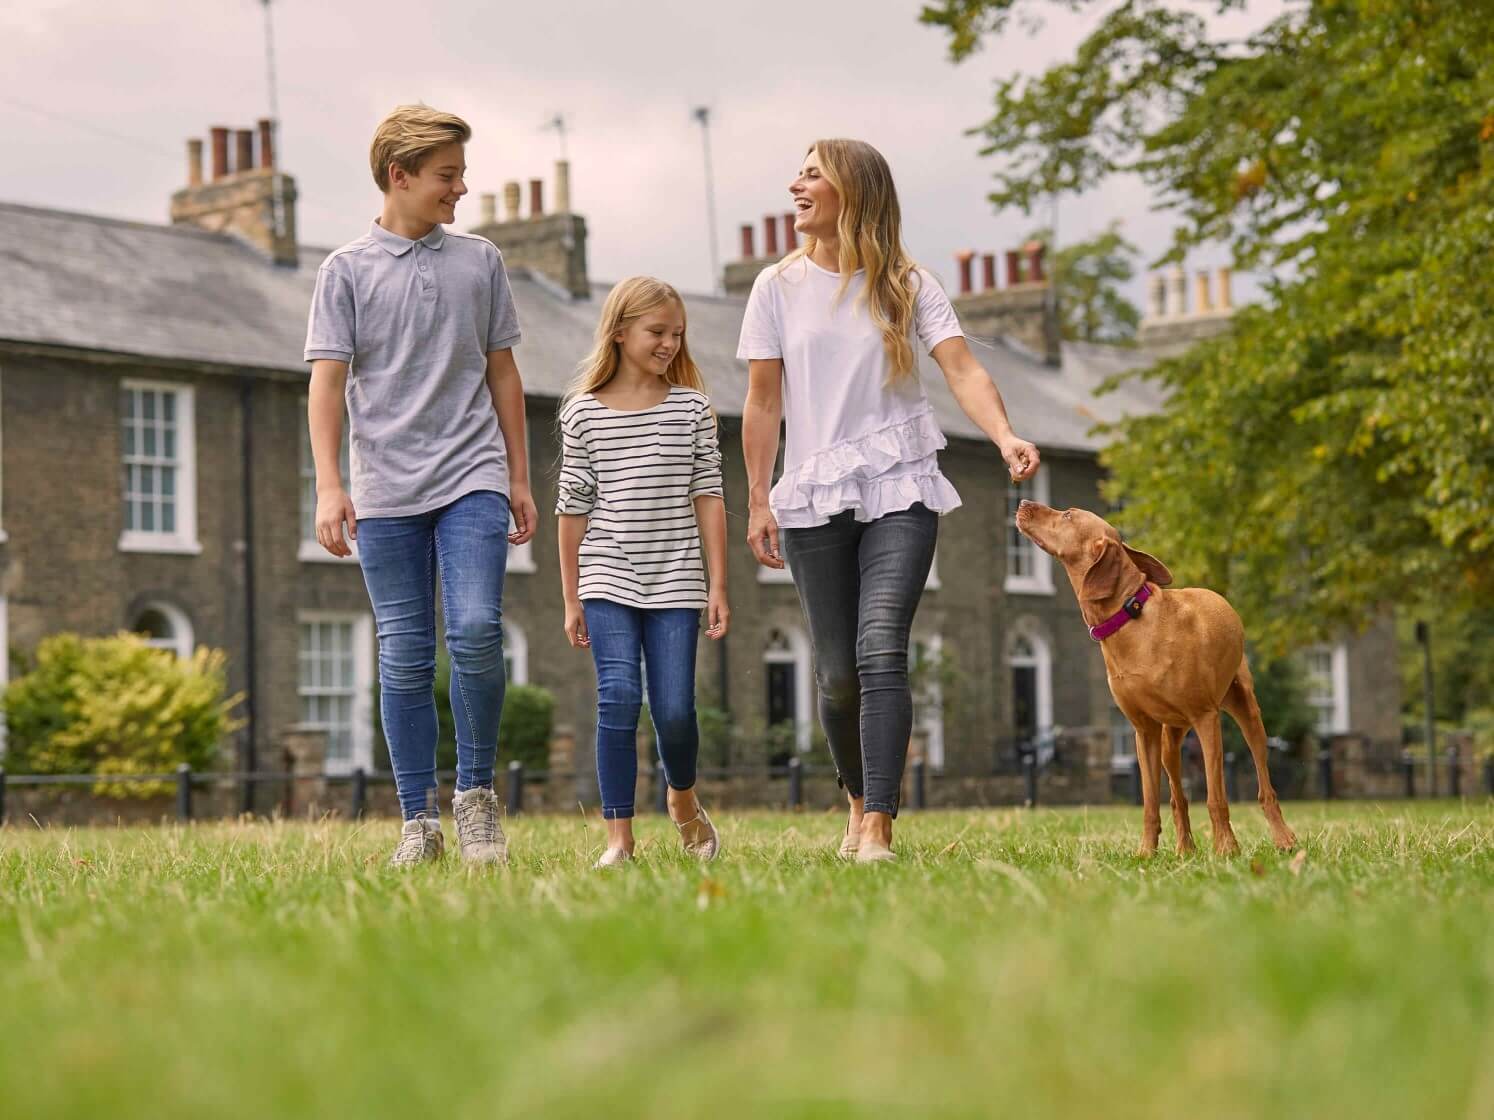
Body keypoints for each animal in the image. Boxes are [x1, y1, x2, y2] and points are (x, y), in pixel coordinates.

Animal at [1015, 501, 1296, 860]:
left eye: (1068, 515)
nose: (1023, 504)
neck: (1130, 617)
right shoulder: (1144, 730)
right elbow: (1150, 801)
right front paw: (1146, 852)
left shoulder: (1206, 719)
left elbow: (1216, 797)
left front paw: (1226, 848)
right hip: (1169, 739)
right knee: (1178, 795)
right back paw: (1184, 849)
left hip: (1248, 713)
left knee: (1265, 786)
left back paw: (1283, 839)